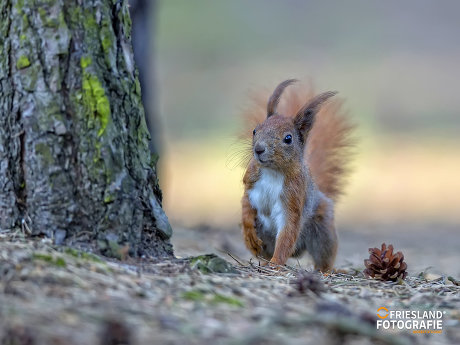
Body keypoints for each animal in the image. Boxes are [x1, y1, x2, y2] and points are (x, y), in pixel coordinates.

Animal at [241, 79, 352, 270]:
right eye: (255, 130)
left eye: (288, 138)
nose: (259, 149)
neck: (273, 171)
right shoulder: (250, 183)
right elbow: (246, 207)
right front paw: (249, 235)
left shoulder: (293, 198)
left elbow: (287, 232)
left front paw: (276, 264)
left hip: (323, 230)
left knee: (323, 255)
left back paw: (325, 271)